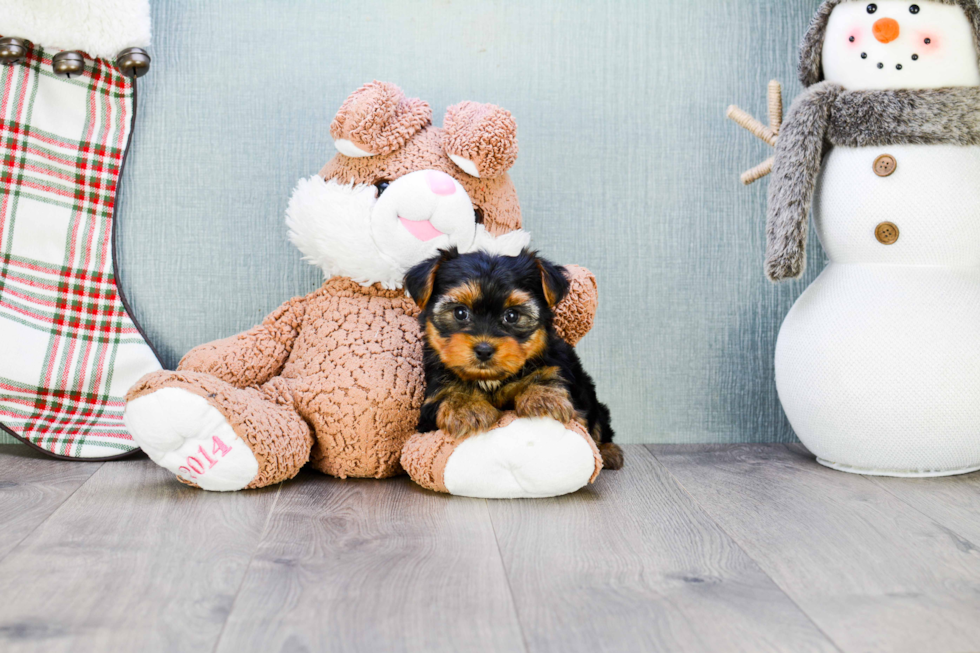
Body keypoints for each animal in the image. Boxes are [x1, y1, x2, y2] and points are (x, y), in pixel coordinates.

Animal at [404, 248, 620, 468]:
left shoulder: (557, 367)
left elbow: (548, 377)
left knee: (599, 424)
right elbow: (447, 389)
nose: (484, 350)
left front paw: (543, 397)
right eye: (460, 312)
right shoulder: (429, 403)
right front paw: (466, 407)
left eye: (512, 315)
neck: (490, 380)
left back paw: (609, 452)